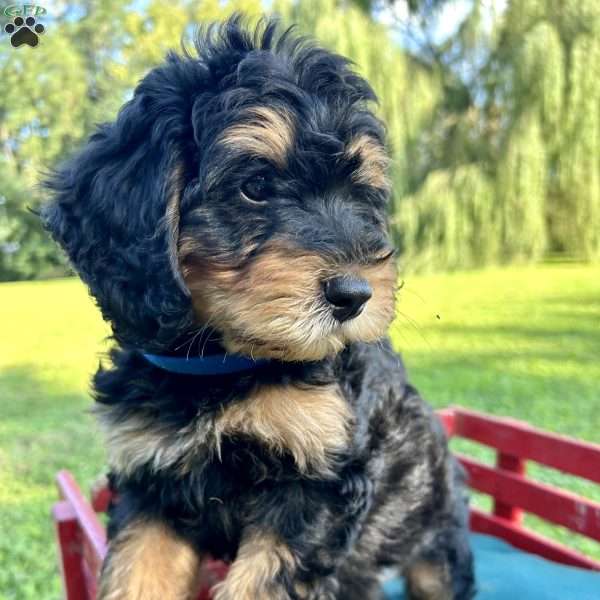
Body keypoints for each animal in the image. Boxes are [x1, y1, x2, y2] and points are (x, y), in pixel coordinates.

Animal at [41, 14, 474, 600]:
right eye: (255, 185)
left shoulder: (316, 484)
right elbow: (136, 574)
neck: (220, 366)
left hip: (434, 541)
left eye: (361, 194)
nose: (356, 296)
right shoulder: (152, 478)